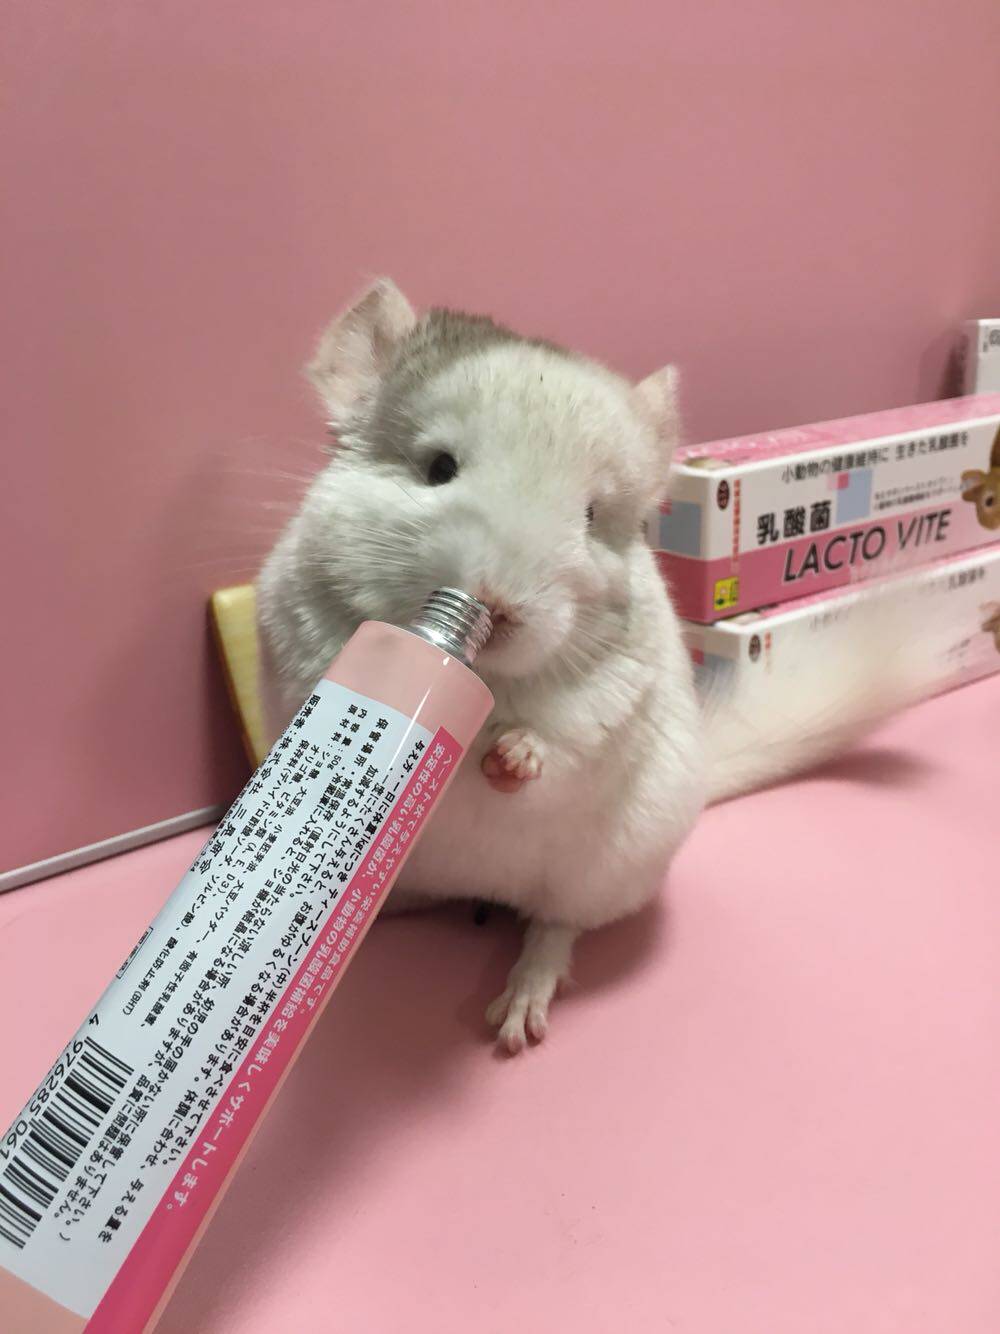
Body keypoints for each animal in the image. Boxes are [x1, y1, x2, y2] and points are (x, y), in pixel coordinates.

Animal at [256, 279, 917, 1053]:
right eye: (438, 467)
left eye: (593, 516)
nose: (496, 605)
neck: (487, 678)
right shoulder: (303, 639)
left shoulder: (610, 698)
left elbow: (557, 745)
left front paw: (508, 758)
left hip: (603, 875)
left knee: (555, 930)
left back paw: (517, 1017)